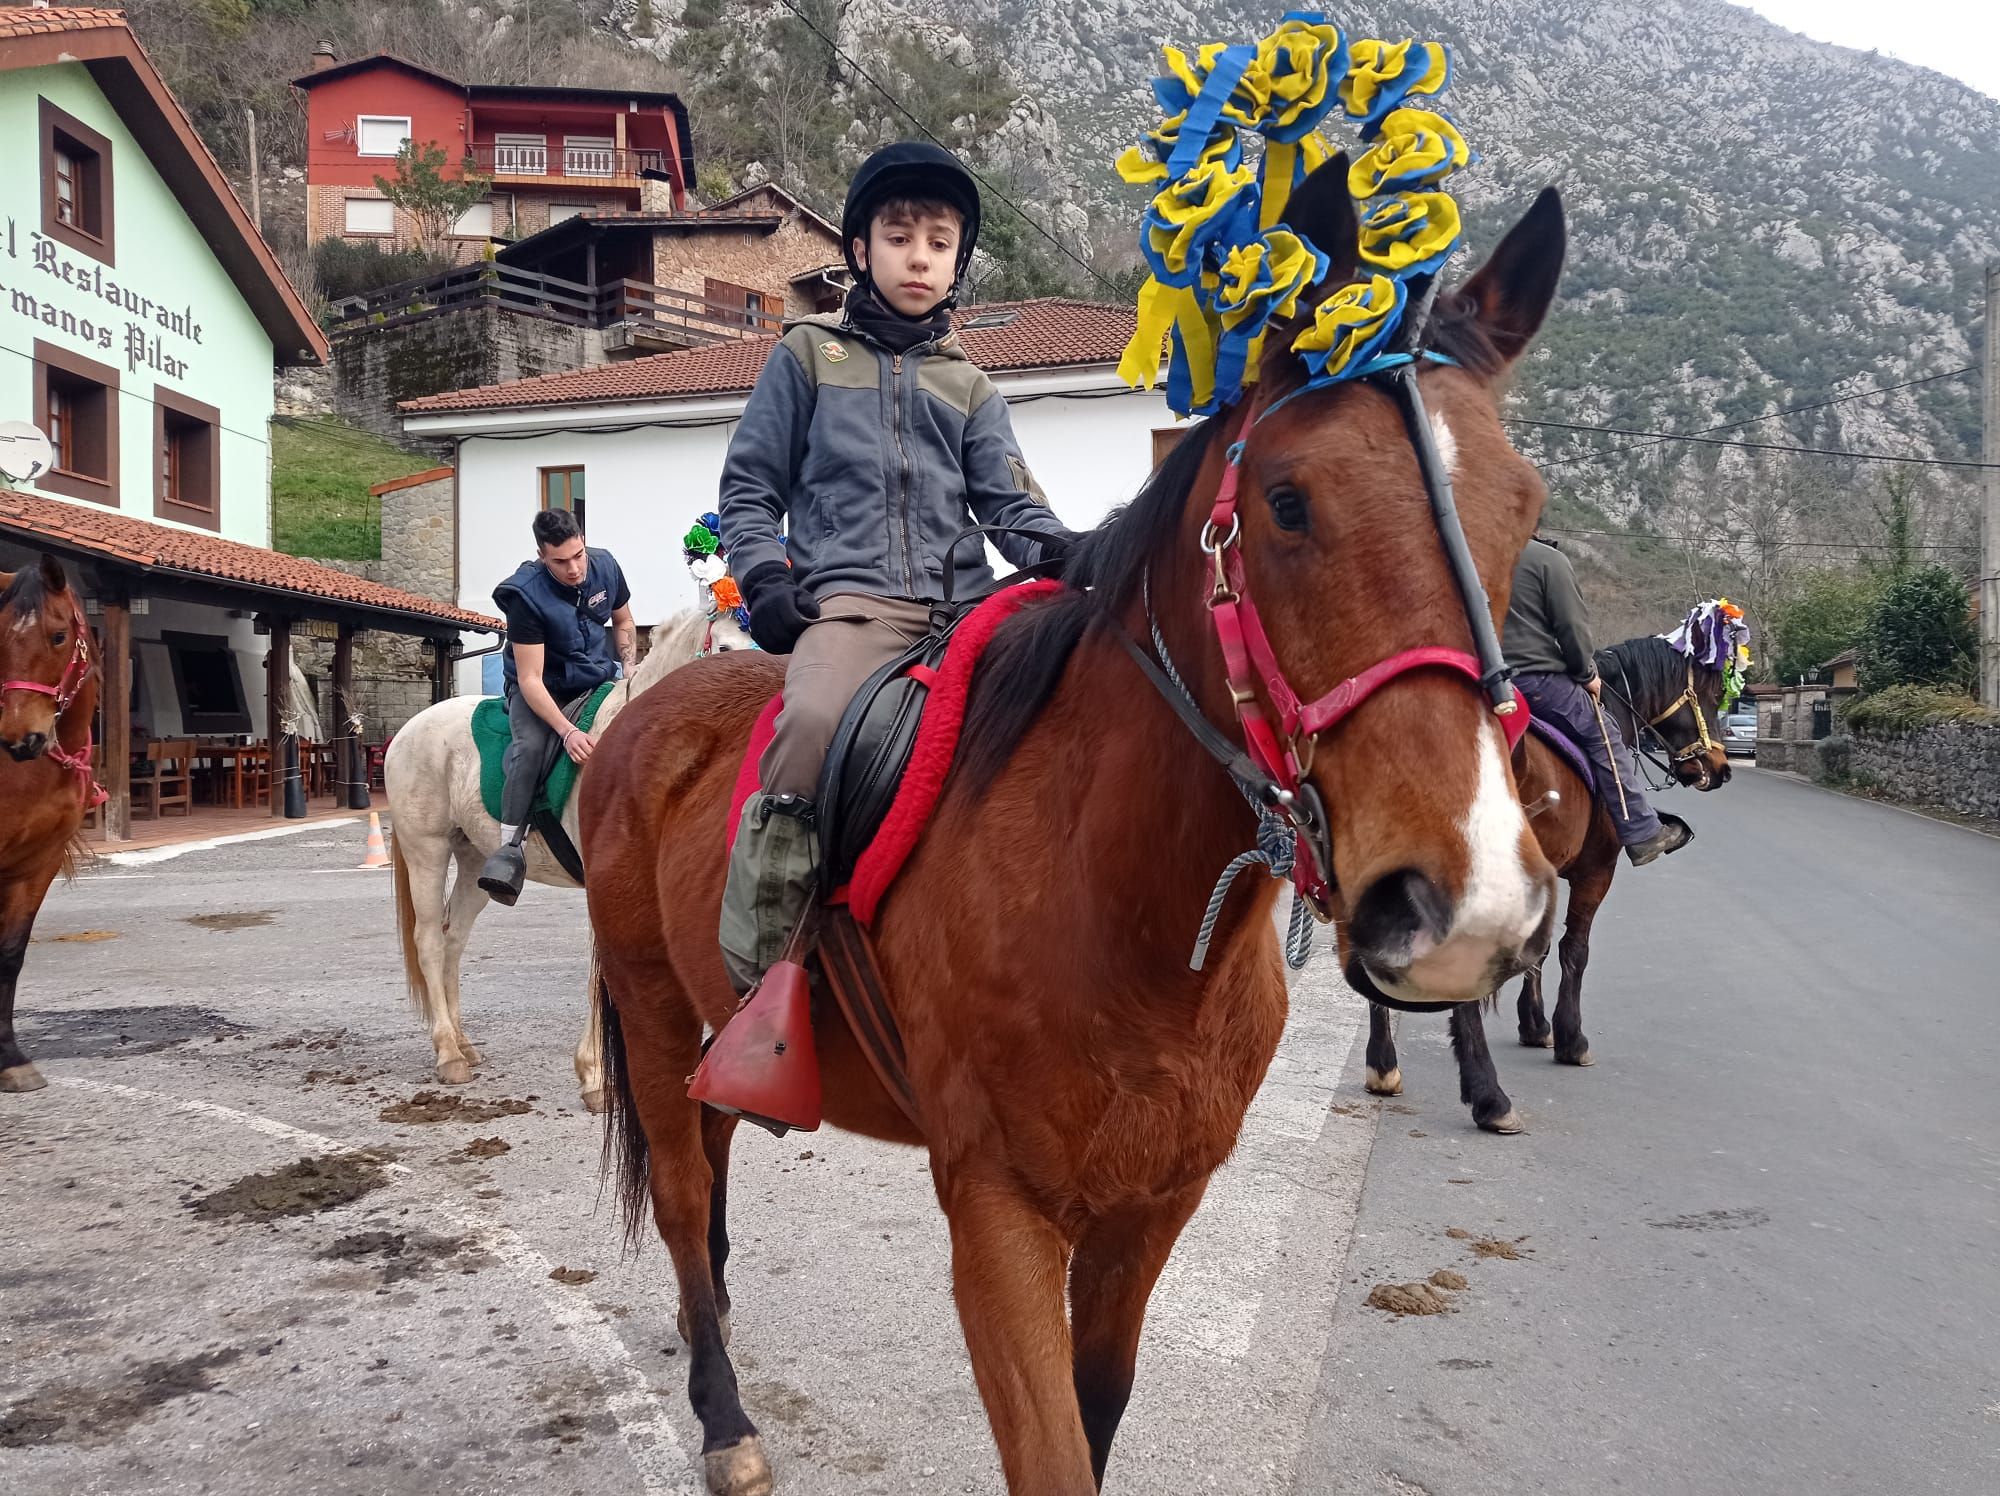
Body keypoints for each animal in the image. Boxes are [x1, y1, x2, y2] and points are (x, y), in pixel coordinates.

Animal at [386, 608, 740, 1112]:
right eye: (725, 649)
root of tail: (410, 729)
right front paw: (596, 1077)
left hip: (473, 863)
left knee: (454, 940)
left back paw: (463, 1042)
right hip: (427, 852)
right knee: (431, 942)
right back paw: (448, 1053)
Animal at [580, 167, 1560, 1496]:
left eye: (1522, 509)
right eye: (1287, 501)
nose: (1463, 905)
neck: (1122, 910)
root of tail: (641, 709)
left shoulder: (1150, 1209)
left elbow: (1098, 1410)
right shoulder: (995, 1211)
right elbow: (1050, 1449)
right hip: (644, 1003)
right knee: (684, 1197)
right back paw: (722, 1412)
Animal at [1368, 632, 1728, 1136]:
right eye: (1713, 695)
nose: (1720, 767)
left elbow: (1536, 951)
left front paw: (1535, 1025)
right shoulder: (1597, 869)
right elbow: (1574, 949)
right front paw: (1570, 1038)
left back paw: (1383, 1066)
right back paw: (1489, 1097)